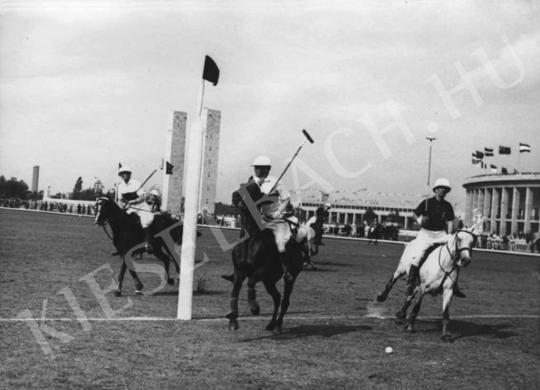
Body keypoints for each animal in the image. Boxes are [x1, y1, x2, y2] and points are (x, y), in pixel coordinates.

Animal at [225, 182, 308, 332]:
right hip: (270, 281)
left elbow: (250, 282)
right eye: (242, 185)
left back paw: (278, 325)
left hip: (290, 276)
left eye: (253, 190)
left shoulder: (261, 272)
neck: (250, 240)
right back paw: (271, 324)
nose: (235, 196)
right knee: (277, 297)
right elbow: (234, 291)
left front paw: (254, 307)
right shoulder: (239, 271)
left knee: (285, 300)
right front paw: (233, 319)